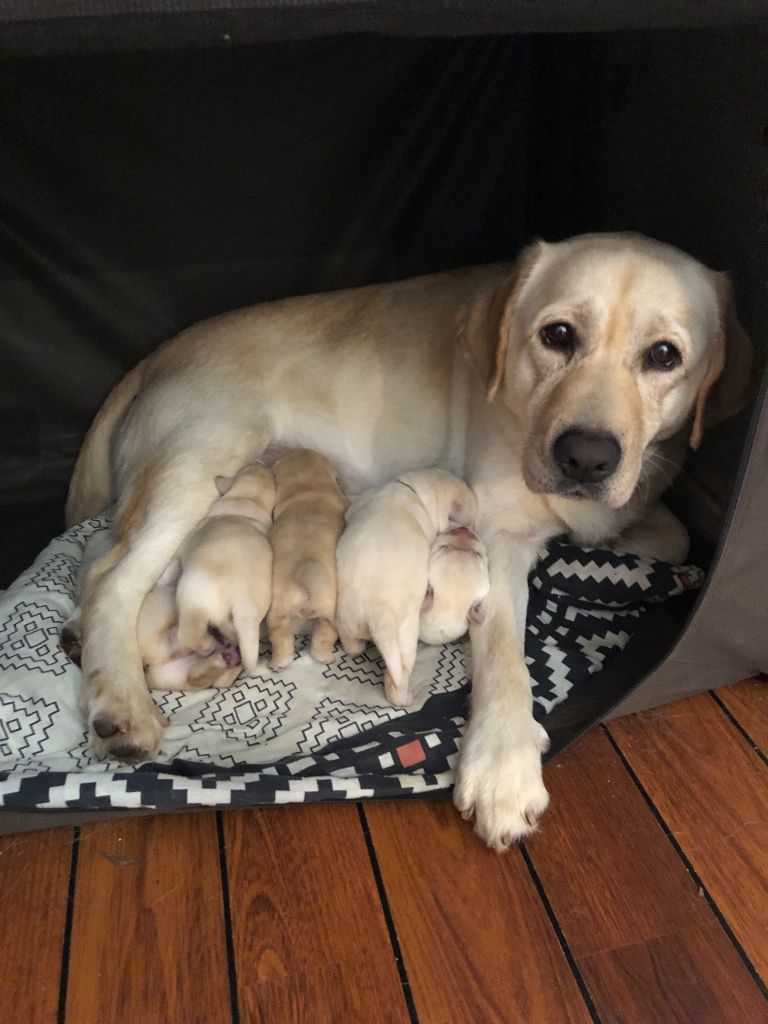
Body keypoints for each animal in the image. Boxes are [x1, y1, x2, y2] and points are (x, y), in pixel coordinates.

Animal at [174, 462, 276, 671]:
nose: (260, 462)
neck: (248, 498)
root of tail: (243, 603)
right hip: (238, 619)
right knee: (231, 632)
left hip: (193, 599)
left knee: (190, 634)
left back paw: (207, 646)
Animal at [337, 468, 479, 708]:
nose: (468, 531)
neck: (416, 492)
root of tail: (378, 611)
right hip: (405, 635)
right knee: (397, 678)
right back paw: (405, 698)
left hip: (348, 618)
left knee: (351, 644)